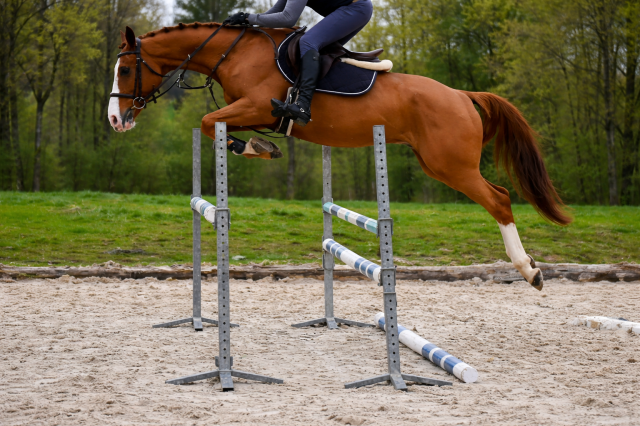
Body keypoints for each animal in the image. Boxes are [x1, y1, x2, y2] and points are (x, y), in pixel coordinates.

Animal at [108, 23, 572, 291]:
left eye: (126, 70)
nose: (115, 119)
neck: (235, 52)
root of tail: (460, 94)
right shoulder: (246, 111)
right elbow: (212, 124)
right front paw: (260, 147)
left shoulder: (257, 106)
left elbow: (208, 121)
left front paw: (255, 148)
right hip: (437, 162)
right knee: (498, 196)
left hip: (450, 165)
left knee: (499, 199)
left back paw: (530, 270)